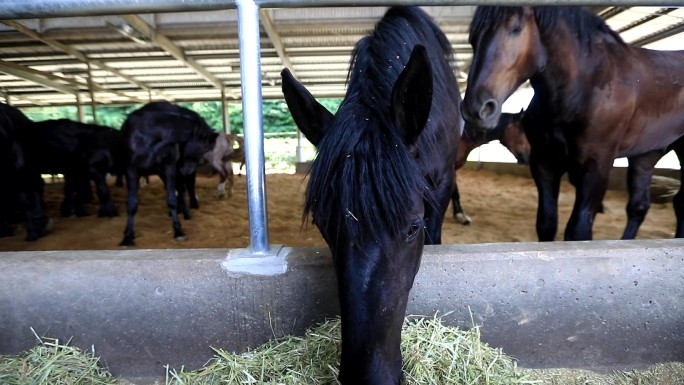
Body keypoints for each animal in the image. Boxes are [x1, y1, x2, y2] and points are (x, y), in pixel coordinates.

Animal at [119, 101, 218, 246]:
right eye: (206, 147)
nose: (188, 169)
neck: (150, 134)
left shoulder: (169, 168)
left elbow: (172, 199)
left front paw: (179, 232)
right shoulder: (131, 170)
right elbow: (132, 203)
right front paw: (127, 237)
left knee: (184, 189)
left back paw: (187, 212)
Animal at [462, 6, 684, 240]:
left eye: (516, 27)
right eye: (473, 37)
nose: (476, 108)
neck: (585, 86)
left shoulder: (596, 167)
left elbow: (578, 231)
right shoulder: (544, 163)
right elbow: (547, 224)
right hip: (646, 155)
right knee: (641, 207)